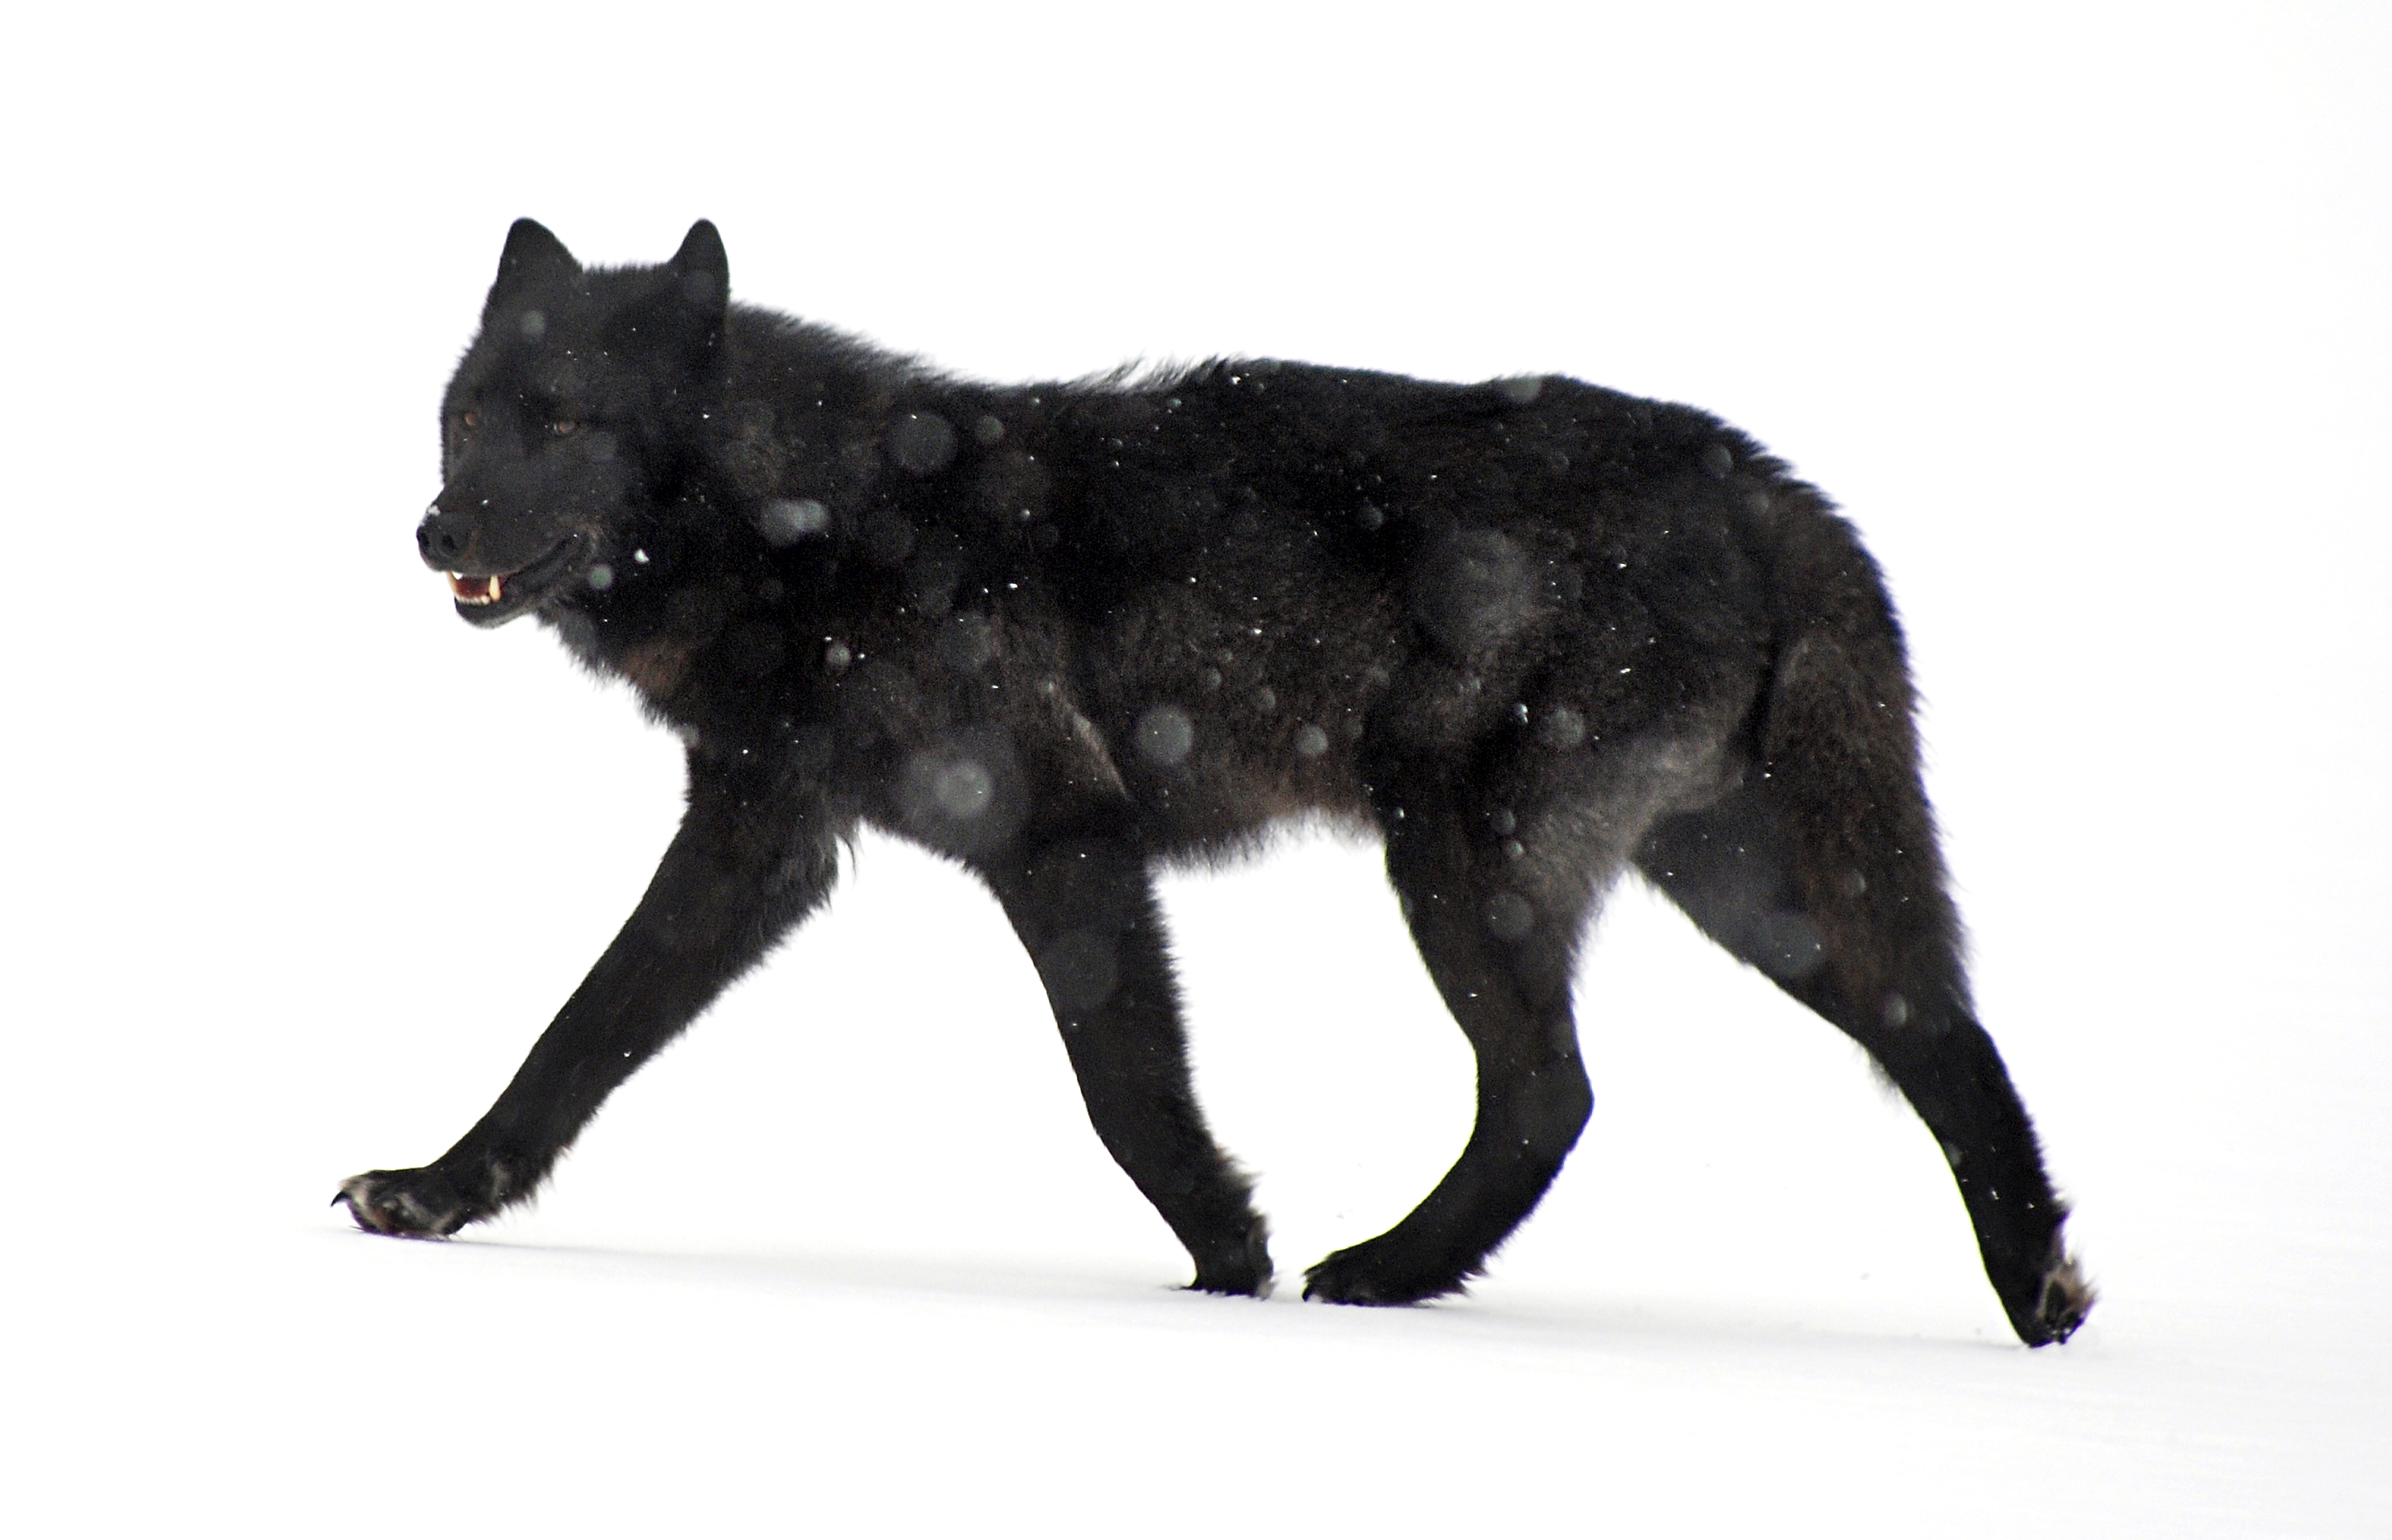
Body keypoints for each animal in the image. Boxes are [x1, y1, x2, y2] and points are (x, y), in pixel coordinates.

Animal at [339, 219, 2093, 1345]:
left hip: (1463, 860)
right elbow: (578, 1034)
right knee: (1940, 1037)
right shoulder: (758, 843)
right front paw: (435, 1194)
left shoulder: (1061, 836)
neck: (822, 526)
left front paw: (1227, 1256)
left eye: (565, 423)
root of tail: (1761, 485)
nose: (433, 529)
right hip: (1734, 890)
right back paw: (2040, 1298)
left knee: (1554, 1090)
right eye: (467, 417)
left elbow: (1123, 1086)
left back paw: (1385, 1273)